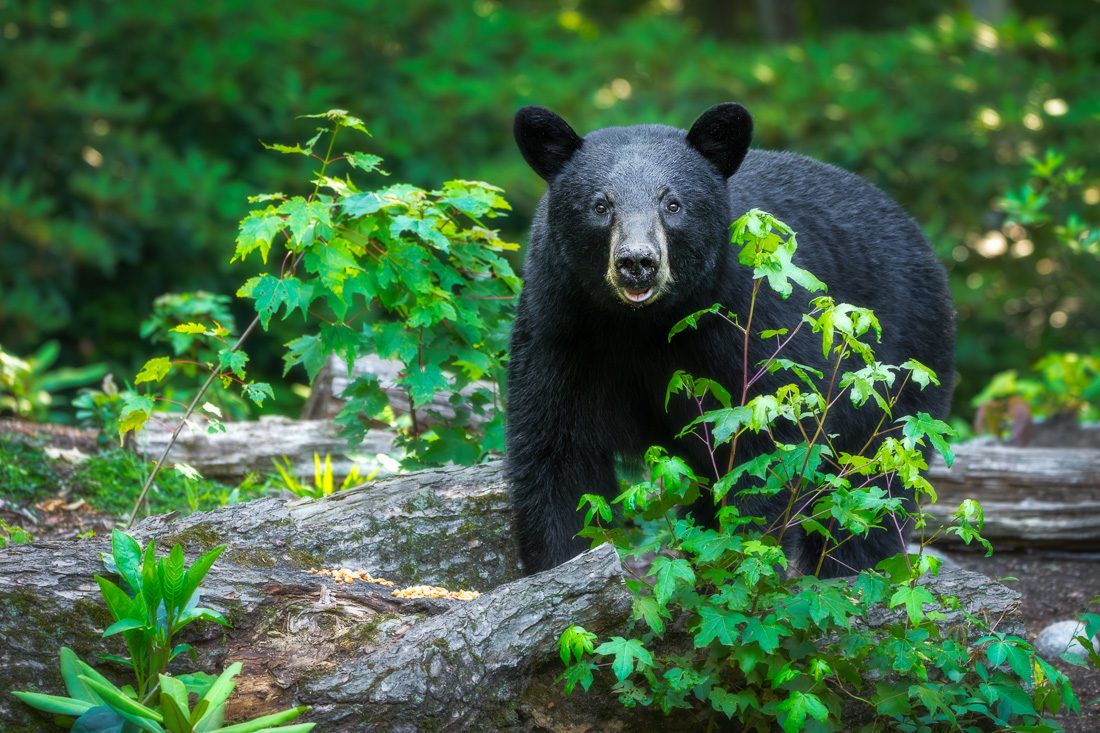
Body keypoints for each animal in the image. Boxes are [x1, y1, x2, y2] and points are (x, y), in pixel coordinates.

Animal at [506, 102, 954, 572]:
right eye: (599, 205)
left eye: (673, 204)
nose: (637, 262)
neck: (644, 324)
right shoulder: (563, 327)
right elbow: (558, 453)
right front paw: (563, 562)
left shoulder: (750, 324)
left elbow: (764, 447)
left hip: (900, 362)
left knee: (874, 484)